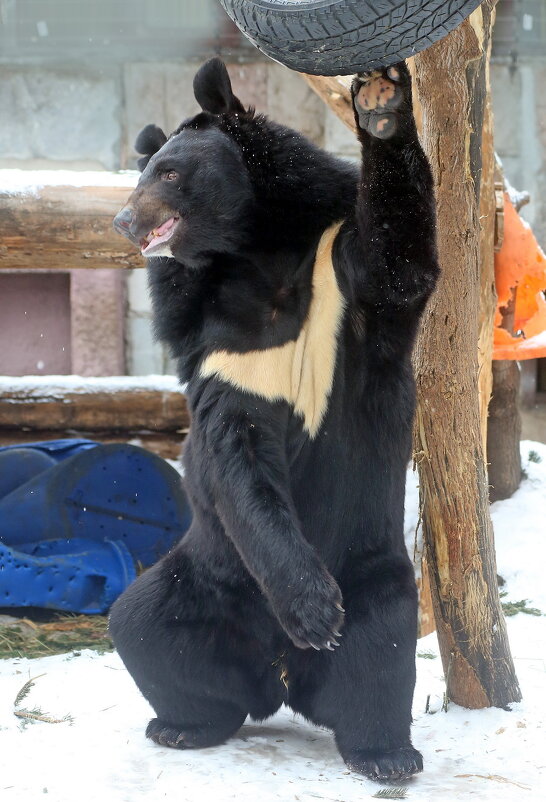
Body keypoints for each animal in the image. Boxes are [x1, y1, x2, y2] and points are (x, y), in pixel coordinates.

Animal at [110, 57, 438, 780]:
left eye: (168, 173)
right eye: (142, 175)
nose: (121, 219)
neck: (253, 253)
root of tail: (281, 679)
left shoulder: (345, 280)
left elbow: (400, 263)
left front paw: (381, 103)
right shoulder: (222, 341)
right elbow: (237, 454)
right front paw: (312, 607)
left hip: (374, 566)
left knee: (381, 656)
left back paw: (386, 753)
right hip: (203, 571)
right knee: (140, 626)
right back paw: (188, 723)